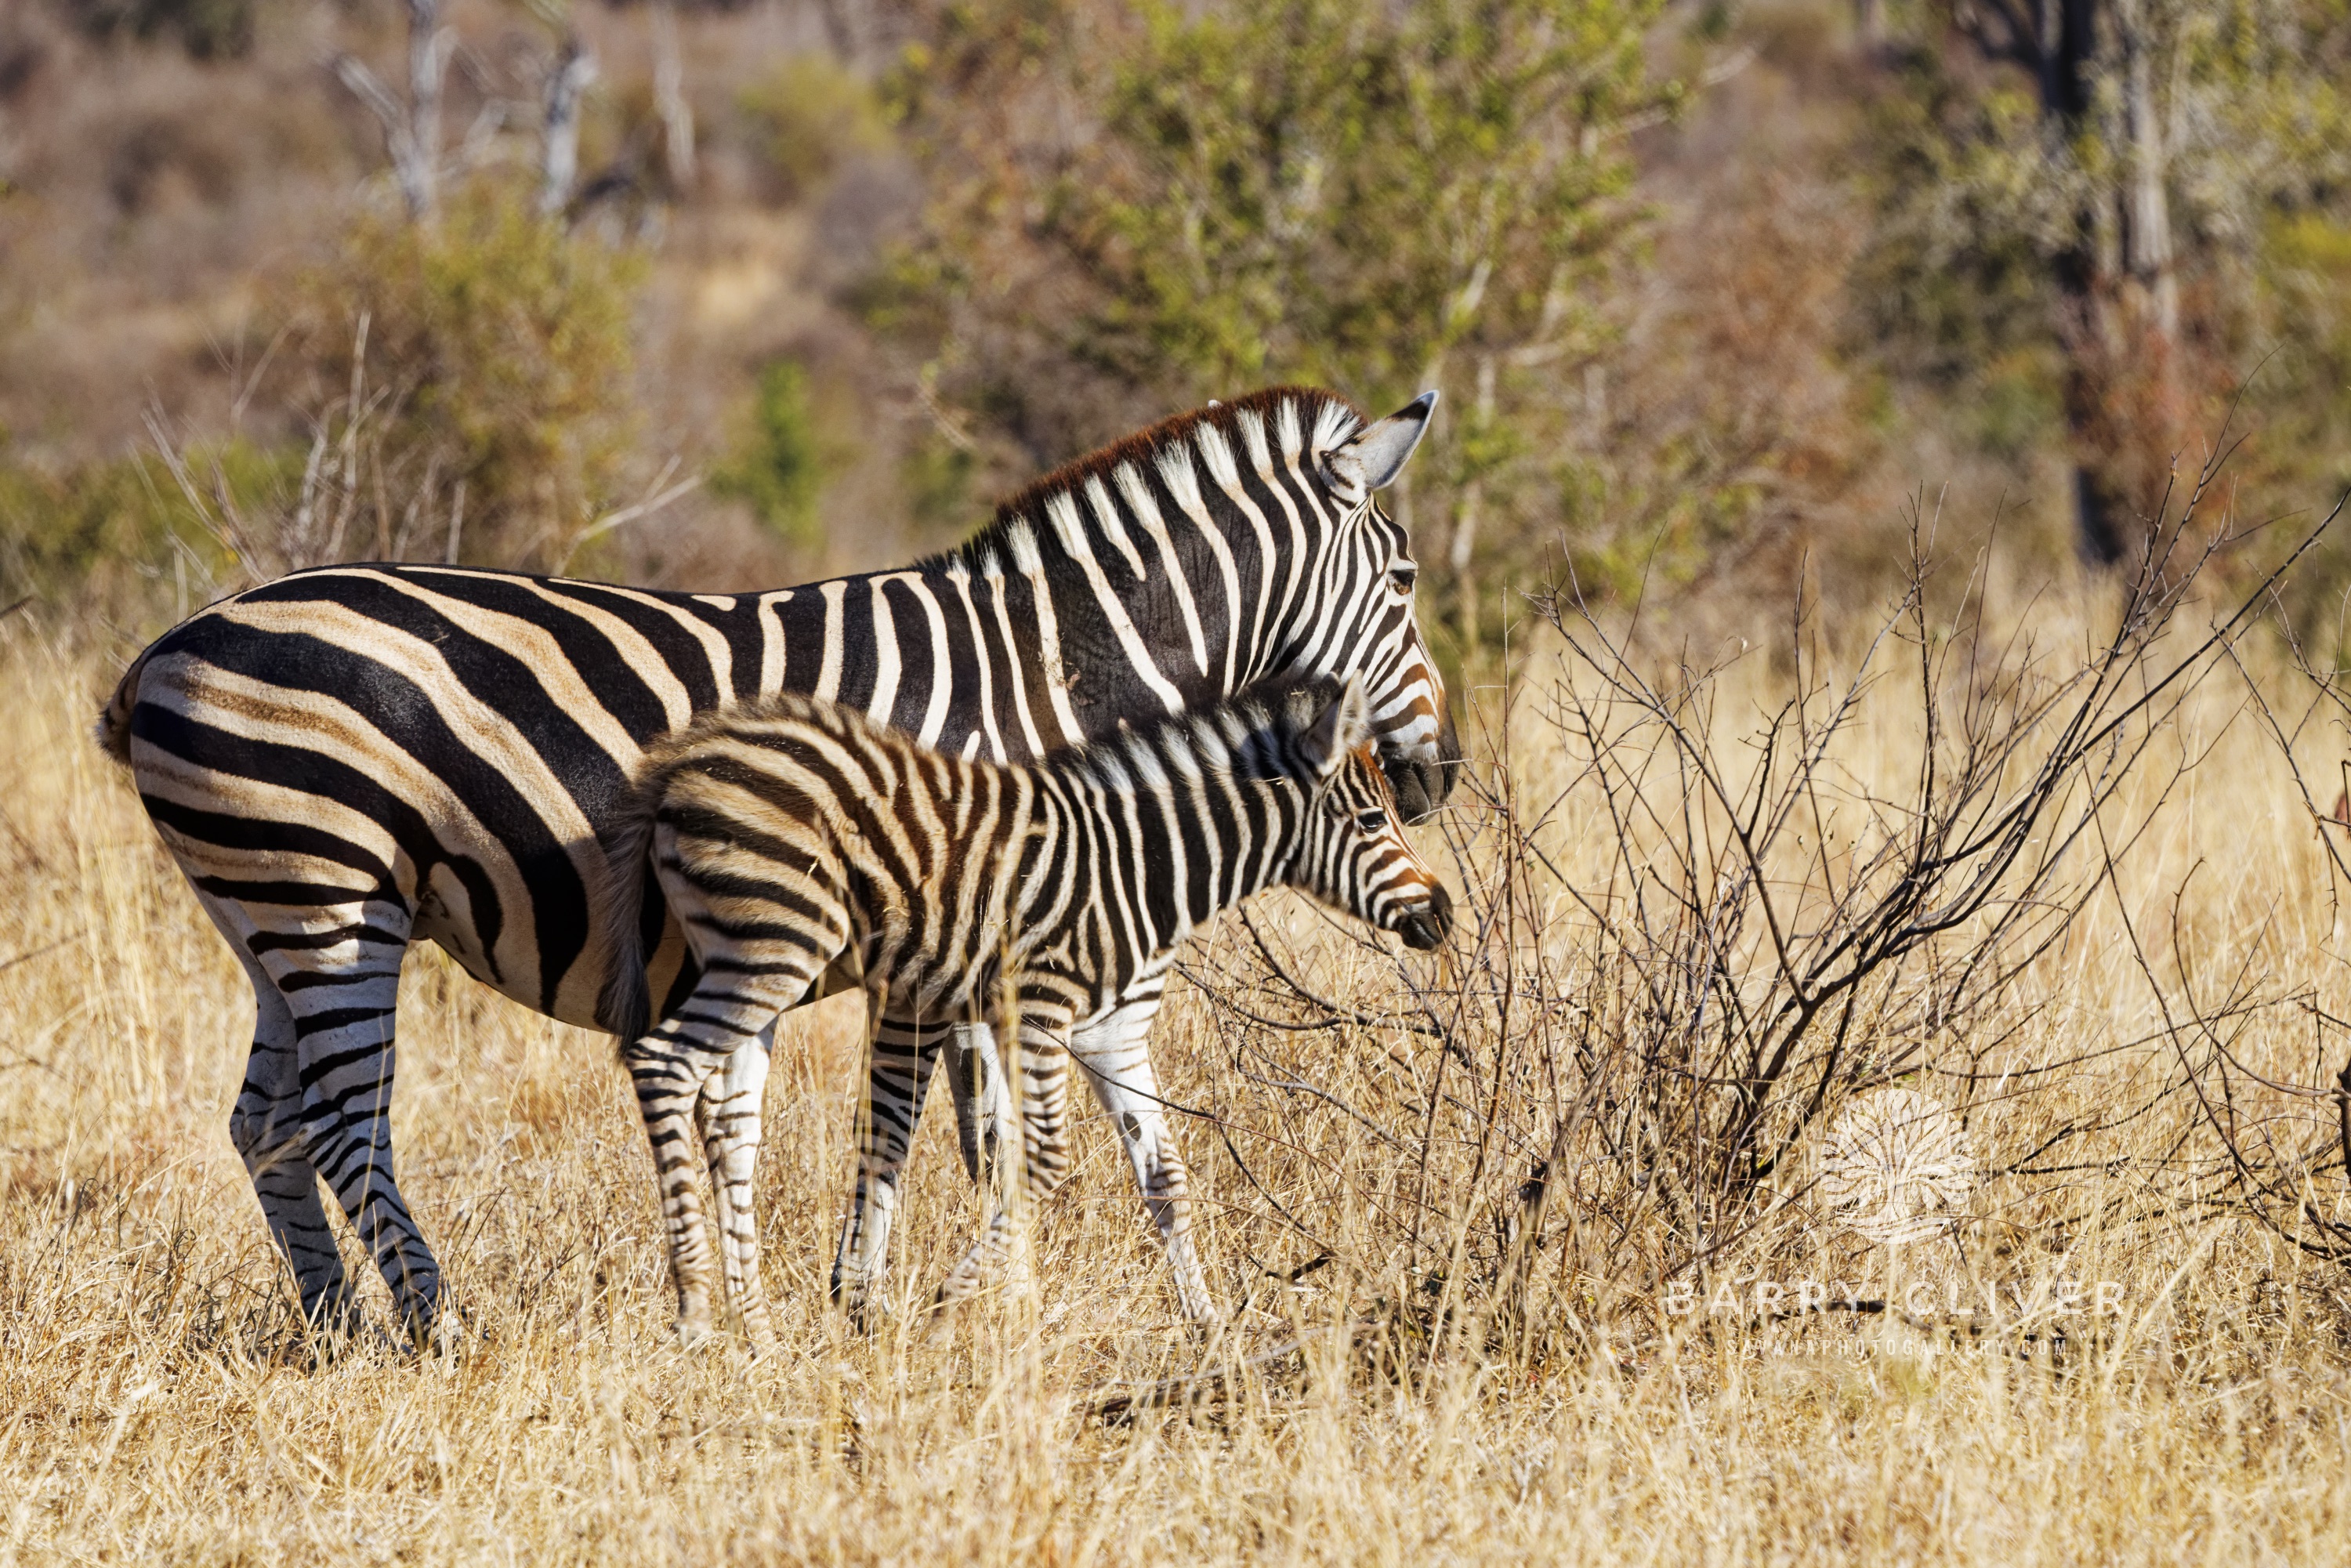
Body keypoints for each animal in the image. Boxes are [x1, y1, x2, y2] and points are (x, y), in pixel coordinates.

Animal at [598, 675, 1451, 1347]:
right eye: (1372, 823)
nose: (1443, 915)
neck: (1136, 867)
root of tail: (679, 763)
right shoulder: (1037, 1006)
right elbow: (1042, 1161)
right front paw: (948, 1307)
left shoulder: (1109, 1035)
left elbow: (1165, 1176)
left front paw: (1210, 1328)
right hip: (776, 944)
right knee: (663, 1062)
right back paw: (696, 1312)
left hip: (742, 954)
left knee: (724, 1117)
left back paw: (755, 1328)